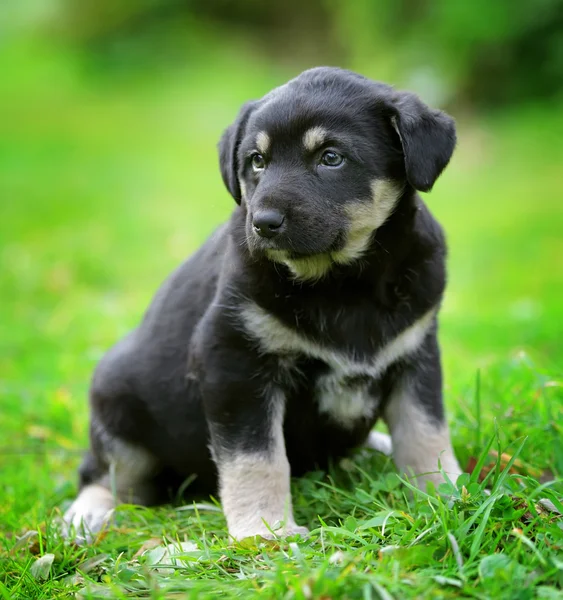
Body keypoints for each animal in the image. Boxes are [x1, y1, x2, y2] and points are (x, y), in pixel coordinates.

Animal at [65, 67, 462, 544]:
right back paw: (85, 516)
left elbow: (426, 433)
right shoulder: (234, 361)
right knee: (104, 474)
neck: (343, 283)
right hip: (117, 402)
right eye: (256, 160)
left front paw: (445, 494)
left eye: (331, 157)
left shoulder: (416, 354)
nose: (263, 223)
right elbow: (257, 458)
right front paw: (266, 532)